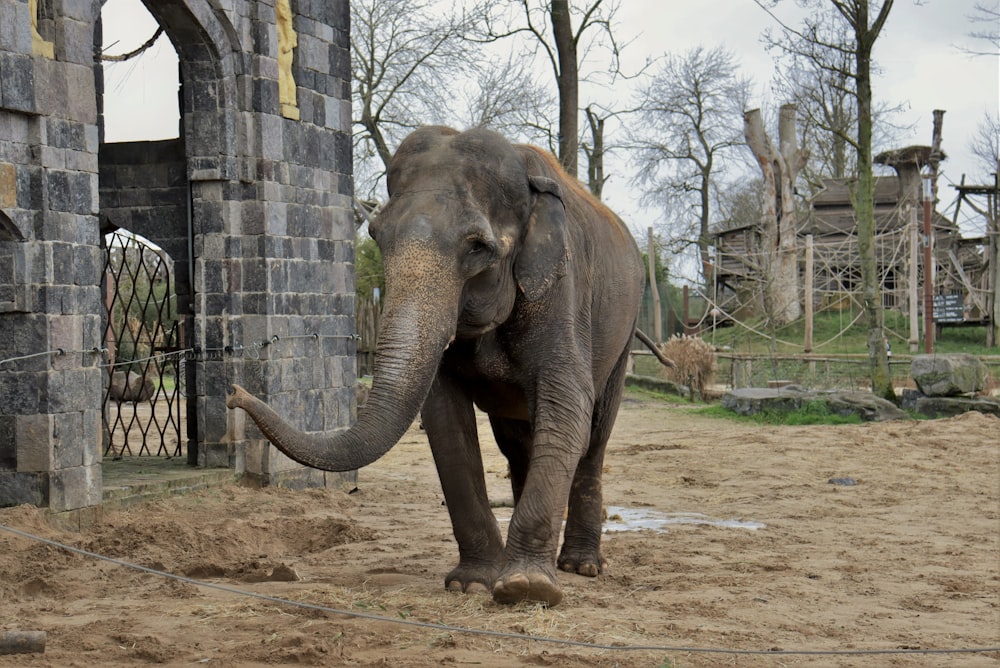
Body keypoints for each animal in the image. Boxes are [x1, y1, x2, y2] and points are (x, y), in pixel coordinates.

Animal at [228, 124, 648, 604]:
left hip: (625, 330)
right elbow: (445, 418)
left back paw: (581, 566)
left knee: (594, 436)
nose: (234, 393)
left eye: (479, 247)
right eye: (376, 235)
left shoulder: (563, 288)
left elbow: (565, 401)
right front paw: (472, 583)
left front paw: (526, 588)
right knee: (517, 440)